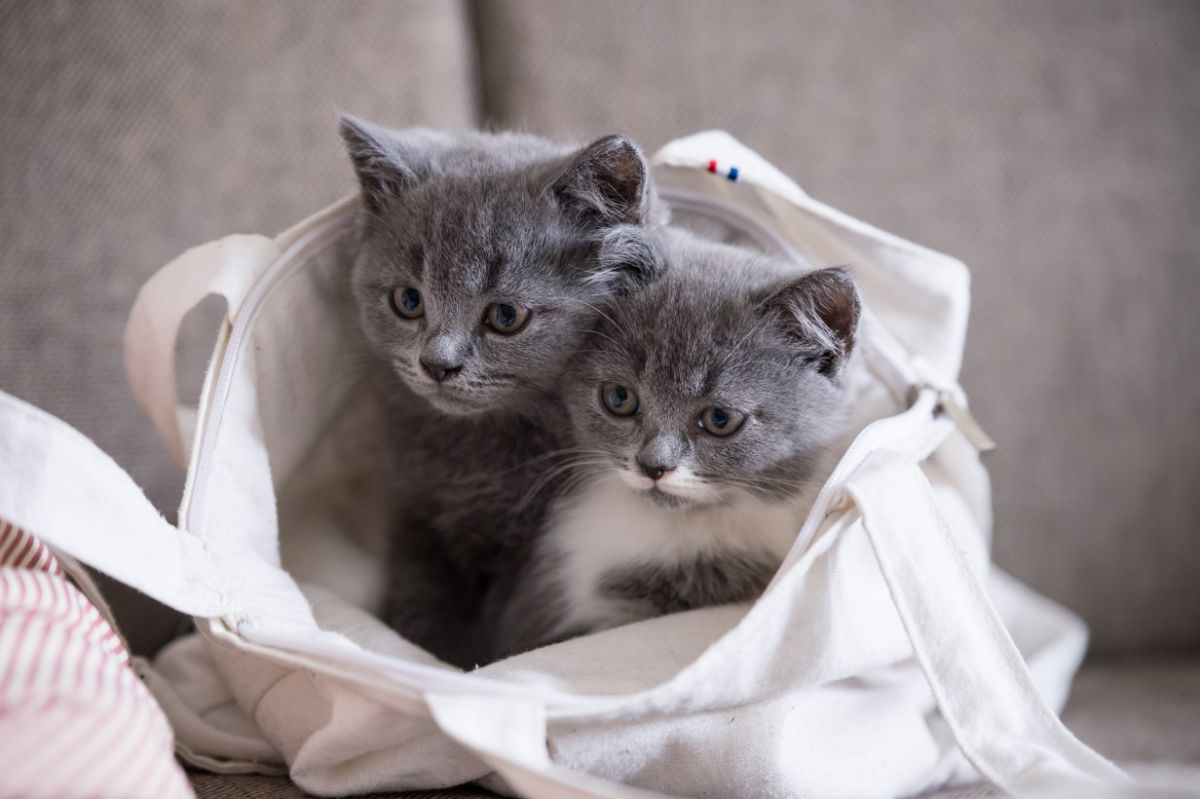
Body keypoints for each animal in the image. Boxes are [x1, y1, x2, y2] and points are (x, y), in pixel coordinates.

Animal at [338, 115, 662, 662]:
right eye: (408, 300)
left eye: (505, 316)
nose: (437, 364)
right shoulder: (415, 516)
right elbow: (420, 597)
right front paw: (430, 651)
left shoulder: (539, 545)